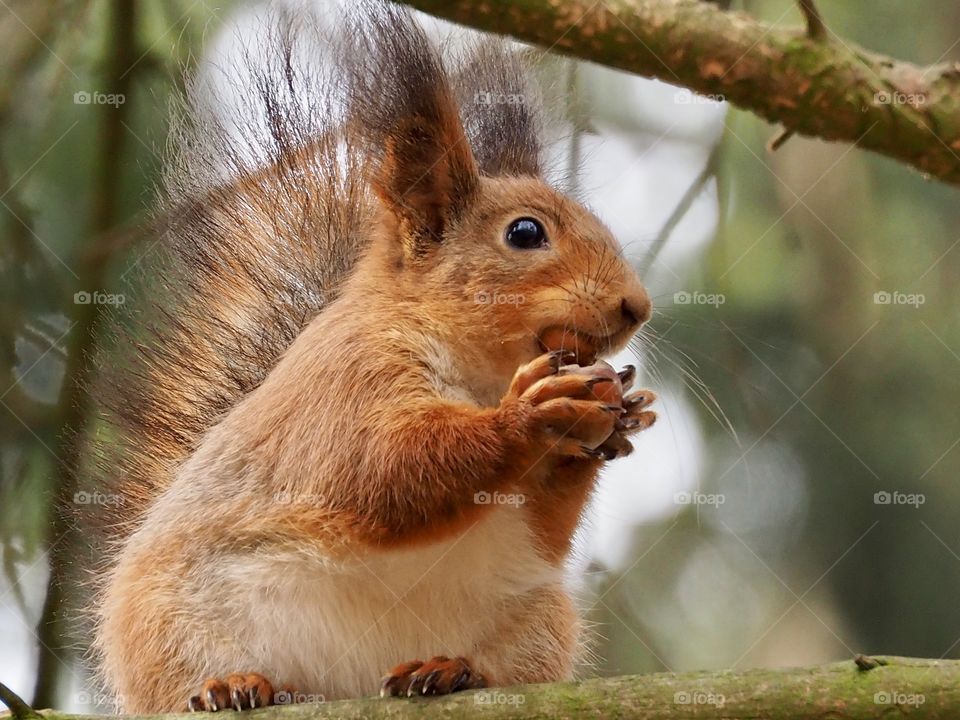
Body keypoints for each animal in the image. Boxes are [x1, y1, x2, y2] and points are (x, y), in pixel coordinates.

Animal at [82, 1, 655, 713]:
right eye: (525, 233)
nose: (637, 306)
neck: (484, 372)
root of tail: (343, 682)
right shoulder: (347, 383)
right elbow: (379, 467)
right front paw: (530, 417)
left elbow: (541, 529)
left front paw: (619, 416)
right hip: (165, 616)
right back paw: (234, 685)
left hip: (538, 622)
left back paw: (446, 669)